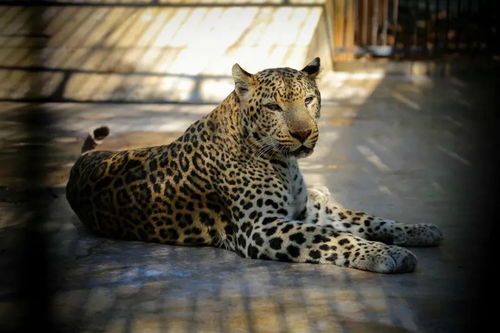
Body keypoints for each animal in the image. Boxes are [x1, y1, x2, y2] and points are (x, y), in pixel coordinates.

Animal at [65, 57, 442, 272]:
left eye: (309, 99)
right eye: (274, 107)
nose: (303, 134)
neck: (285, 163)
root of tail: (78, 164)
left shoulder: (304, 211)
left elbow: (364, 218)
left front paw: (419, 230)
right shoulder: (260, 227)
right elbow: (334, 237)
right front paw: (385, 254)